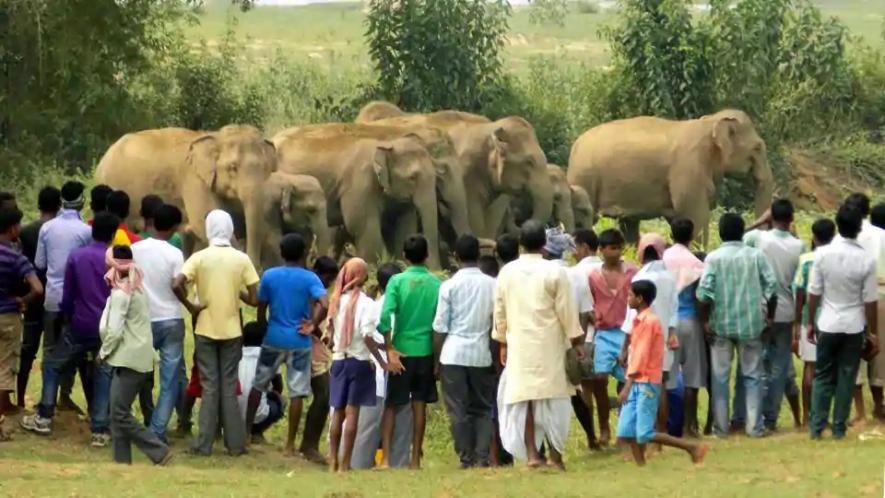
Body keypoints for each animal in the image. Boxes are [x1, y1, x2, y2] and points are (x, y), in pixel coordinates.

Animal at [272, 126, 441, 268]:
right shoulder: (360, 184)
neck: (386, 144)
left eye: (436, 175)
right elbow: (363, 228)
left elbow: (403, 229)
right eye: (412, 178)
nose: (440, 274)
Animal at [567, 109, 773, 244]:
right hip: (584, 176)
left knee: (629, 224)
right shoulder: (687, 167)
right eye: (758, 148)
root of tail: (575, 145)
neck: (709, 123)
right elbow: (695, 215)